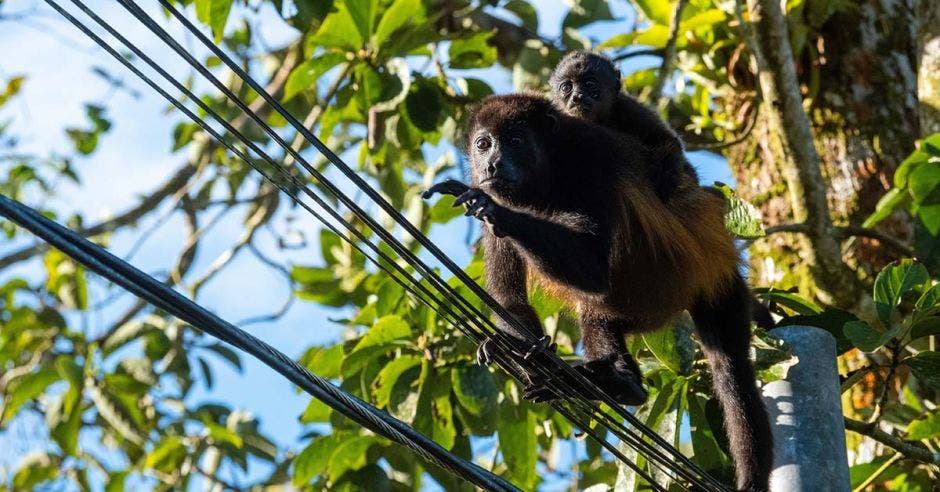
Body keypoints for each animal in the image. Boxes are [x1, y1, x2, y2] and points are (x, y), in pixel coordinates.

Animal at [424, 94, 772, 490]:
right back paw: (615, 382)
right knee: (599, 320)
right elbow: (508, 297)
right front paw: (519, 351)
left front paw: (494, 209)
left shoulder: (590, 159)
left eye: (514, 140)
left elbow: (592, 270)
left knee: (731, 371)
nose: (493, 162)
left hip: (710, 284)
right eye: (483, 144)